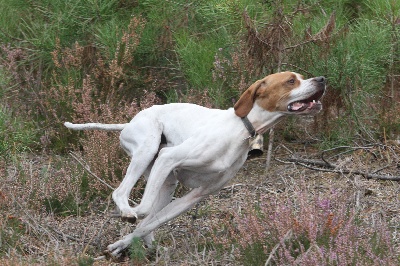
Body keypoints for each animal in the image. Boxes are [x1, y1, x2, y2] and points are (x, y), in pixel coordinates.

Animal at [63, 71, 324, 258]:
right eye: (291, 80)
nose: (322, 79)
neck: (241, 128)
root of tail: (127, 123)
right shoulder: (168, 157)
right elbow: (144, 211)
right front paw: (129, 218)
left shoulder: (196, 195)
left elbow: (148, 224)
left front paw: (120, 244)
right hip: (149, 149)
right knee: (123, 194)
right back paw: (126, 211)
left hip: (166, 184)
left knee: (148, 223)